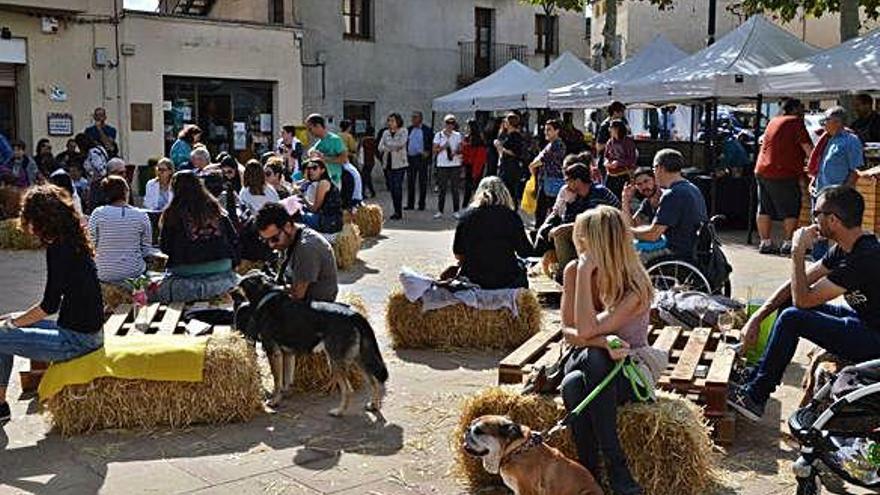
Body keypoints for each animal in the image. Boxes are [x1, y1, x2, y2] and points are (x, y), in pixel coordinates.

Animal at [234, 274, 388, 416]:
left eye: (240, 283)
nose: (231, 290)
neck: (266, 294)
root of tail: (354, 315)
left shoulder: (273, 352)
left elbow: (277, 380)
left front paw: (274, 401)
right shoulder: (288, 354)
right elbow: (286, 379)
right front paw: (284, 394)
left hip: (335, 361)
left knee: (348, 389)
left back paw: (338, 411)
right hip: (359, 358)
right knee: (374, 382)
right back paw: (373, 405)